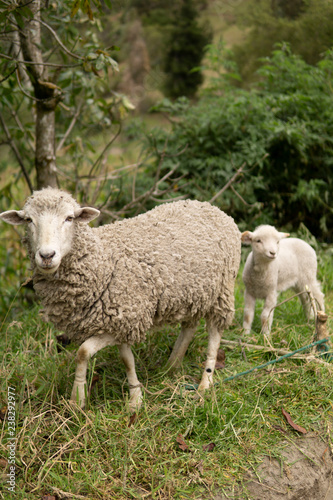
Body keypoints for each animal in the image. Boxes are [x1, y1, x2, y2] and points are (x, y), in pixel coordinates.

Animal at [0, 188, 240, 410]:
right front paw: (135, 398)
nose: (47, 256)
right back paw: (171, 366)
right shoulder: (121, 318)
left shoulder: (124, 318)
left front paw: (77, 400)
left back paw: (205, 382)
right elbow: (127, 360)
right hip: (194, 293)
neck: (102, 262)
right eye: (28, 220)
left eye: (69, 218)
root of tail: (209, 206)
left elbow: (82, 352)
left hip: (223, 290)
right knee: (189, 326)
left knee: (214, 334)